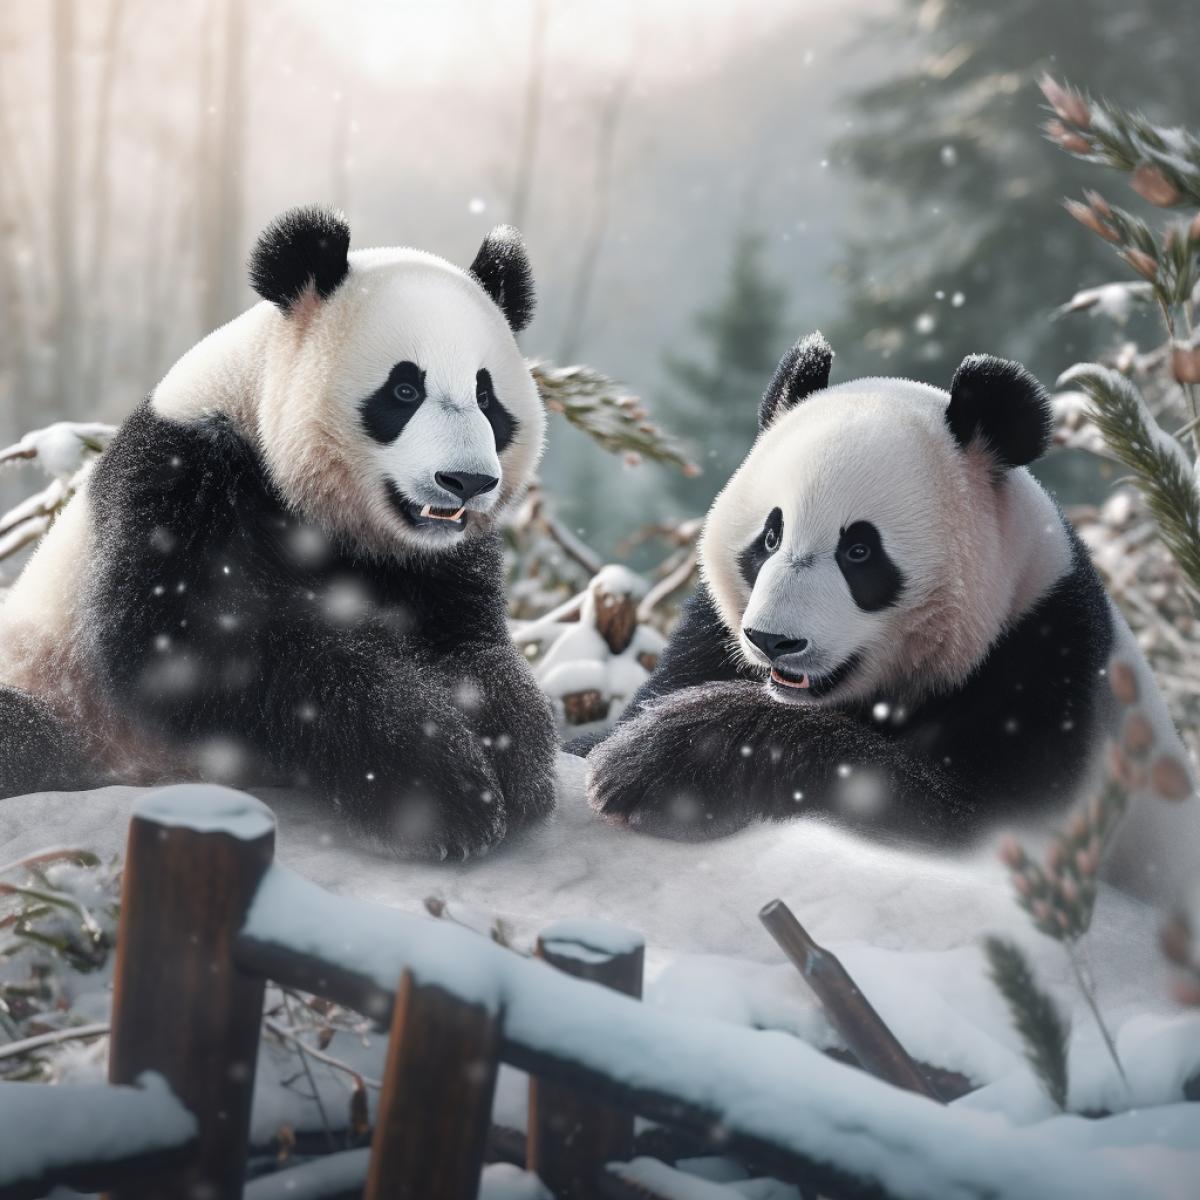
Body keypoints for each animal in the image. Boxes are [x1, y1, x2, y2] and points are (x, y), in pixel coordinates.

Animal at [0, 205, 557, 860]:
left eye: (487, 396)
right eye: (404, 389)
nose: (466, 481)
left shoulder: (434, 560)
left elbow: (465, 641)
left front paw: (513, 761)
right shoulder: (185, 480)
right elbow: (192, 642)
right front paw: (440, 793)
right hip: (65, 699)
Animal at [584, 332, 1195, 870]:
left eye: (859, 551)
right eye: (770, 537)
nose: (773, 641)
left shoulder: (1046, 665)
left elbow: (957, 818)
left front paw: (660, 765)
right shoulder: (710, 637)